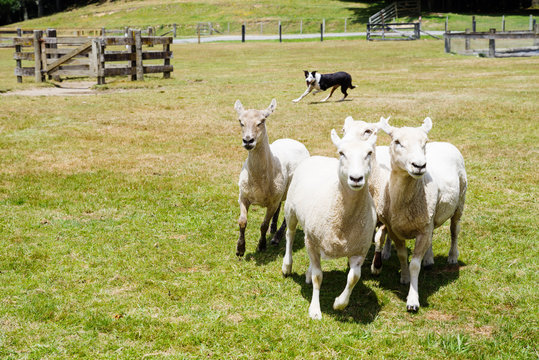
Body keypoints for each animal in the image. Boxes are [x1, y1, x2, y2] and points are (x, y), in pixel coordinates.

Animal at [234, 98, 310, 256]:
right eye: (240, 121)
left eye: (262, 121)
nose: (248, 140)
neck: (258, 180)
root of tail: (294, 141)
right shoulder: (243, 196)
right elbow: (242, 221)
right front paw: (240, 249)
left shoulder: (272, 202)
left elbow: (263, 224)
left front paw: (262, 245)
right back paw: (274, 229)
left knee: (287, 217)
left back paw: (276, 237)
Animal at [280, 128, 378, 320]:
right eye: (341, 153)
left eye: (369, 153)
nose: (356, 178)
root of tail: (317, 157)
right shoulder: (312, 241)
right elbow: (318, 277)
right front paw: (315, 310)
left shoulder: (359, 249)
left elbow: (354, 277)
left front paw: (339, 303)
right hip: (291, 209)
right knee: (290, 234)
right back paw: (287, 265)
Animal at [376, 118, 468, 312]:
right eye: (397, 141)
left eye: (424, 143)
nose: (419, 166)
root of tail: (444, 143)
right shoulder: (397, 229)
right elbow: (403, 256)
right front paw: (404, 278)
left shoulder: (422, 230)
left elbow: (414, 265)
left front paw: (412, 299)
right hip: (430, 216)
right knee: (432, 235)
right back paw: (429, 258)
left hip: (460, 202)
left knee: (454, 231)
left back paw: (452, 256)